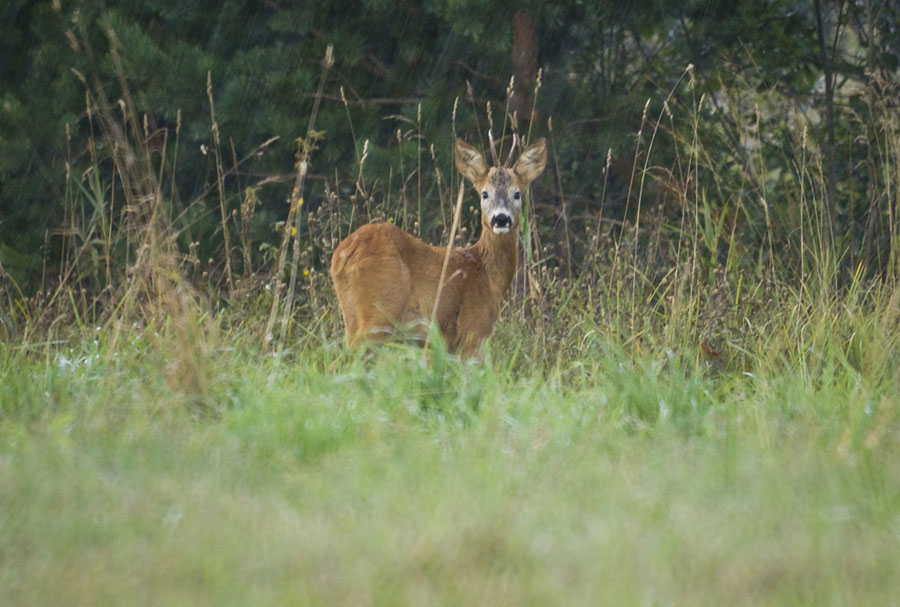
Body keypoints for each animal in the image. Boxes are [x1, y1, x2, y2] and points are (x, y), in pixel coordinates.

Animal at [326, 135, 544, 358]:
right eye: (485, 194)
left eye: (517, 194)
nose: (501, 218)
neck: (487, 274)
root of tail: (343, 254)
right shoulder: (473, 331)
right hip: (379, 312)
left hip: (352, 316)